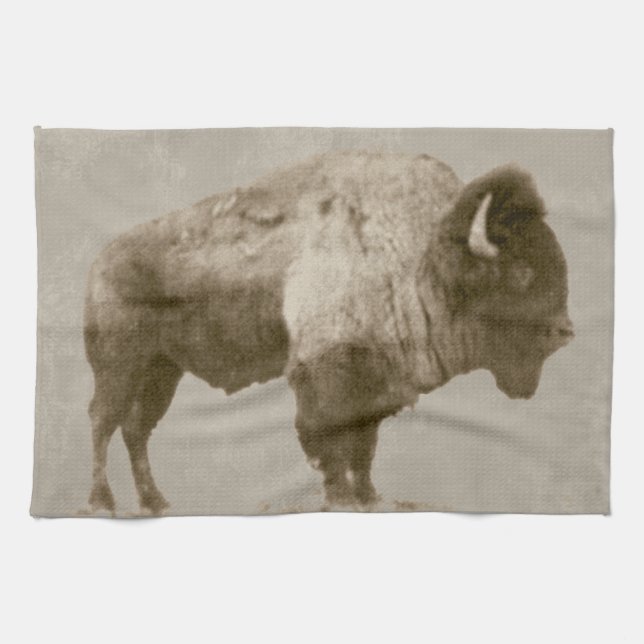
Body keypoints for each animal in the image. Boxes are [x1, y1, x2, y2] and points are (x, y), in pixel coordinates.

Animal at [84, 151, 573, 514]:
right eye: (521, 273)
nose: (565, 331)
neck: (419, 259)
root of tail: (100, 263)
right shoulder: (324, 380)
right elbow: (332, 448)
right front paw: (341, 499)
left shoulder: (374, 388)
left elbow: (364, 449)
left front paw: (370, 498)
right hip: (119, 368)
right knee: (103, 422)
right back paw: (102, 502)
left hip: (161, 371)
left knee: (136, 430)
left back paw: (155, 502)